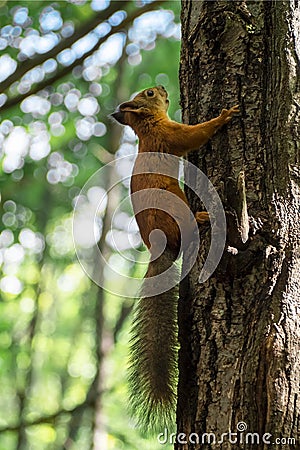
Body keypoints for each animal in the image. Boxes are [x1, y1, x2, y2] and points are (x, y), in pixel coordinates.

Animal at [110, 85, 239, 432]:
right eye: (149, 93)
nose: (164, 88)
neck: (148, 126)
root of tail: (160, 246)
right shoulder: (171, 135)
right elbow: (196, 135)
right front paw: (224, 116)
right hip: (177, 207)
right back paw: (204, 216)